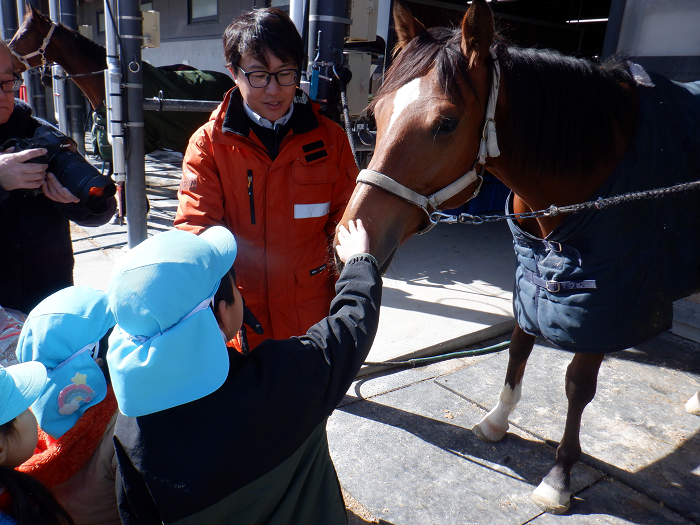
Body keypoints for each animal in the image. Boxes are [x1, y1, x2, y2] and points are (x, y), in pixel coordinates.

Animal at [336, 0, 700, 515]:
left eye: (446, 123)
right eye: (375, 114)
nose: (349, 236)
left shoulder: (605, 298)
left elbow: (578, 383)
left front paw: (560, 476)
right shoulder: (531, 272)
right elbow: (518, 345)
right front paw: (496, 419)